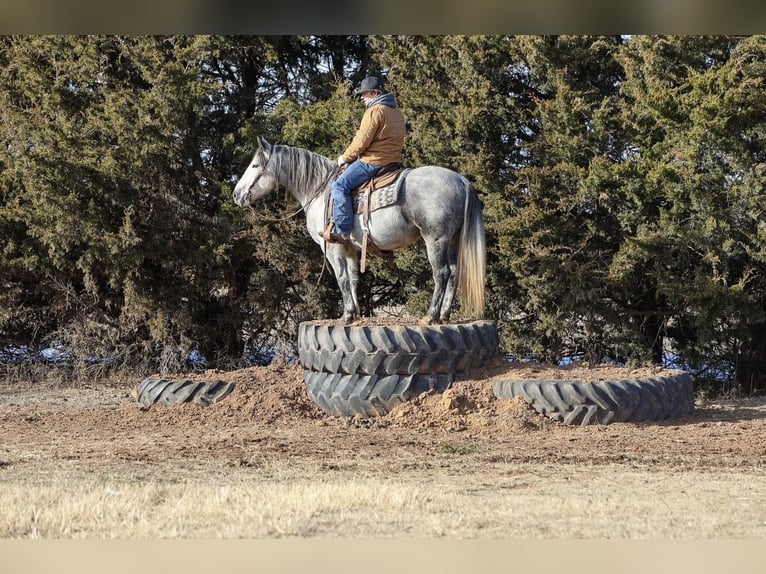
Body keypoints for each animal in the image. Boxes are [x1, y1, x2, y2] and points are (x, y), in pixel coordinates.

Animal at [232, 137, 486, 325]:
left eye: (255, 166)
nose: (236, 194)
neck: (319, 190)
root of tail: (462, 180)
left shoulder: (332, 248)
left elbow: (342, 278)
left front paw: (346, 315)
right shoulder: (349, 247)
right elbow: (353, 278)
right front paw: (354, 314)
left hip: (435, 239)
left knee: (441, 273)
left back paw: (431, 317)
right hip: (452, 240)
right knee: (454, 273)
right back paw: (444, 315)